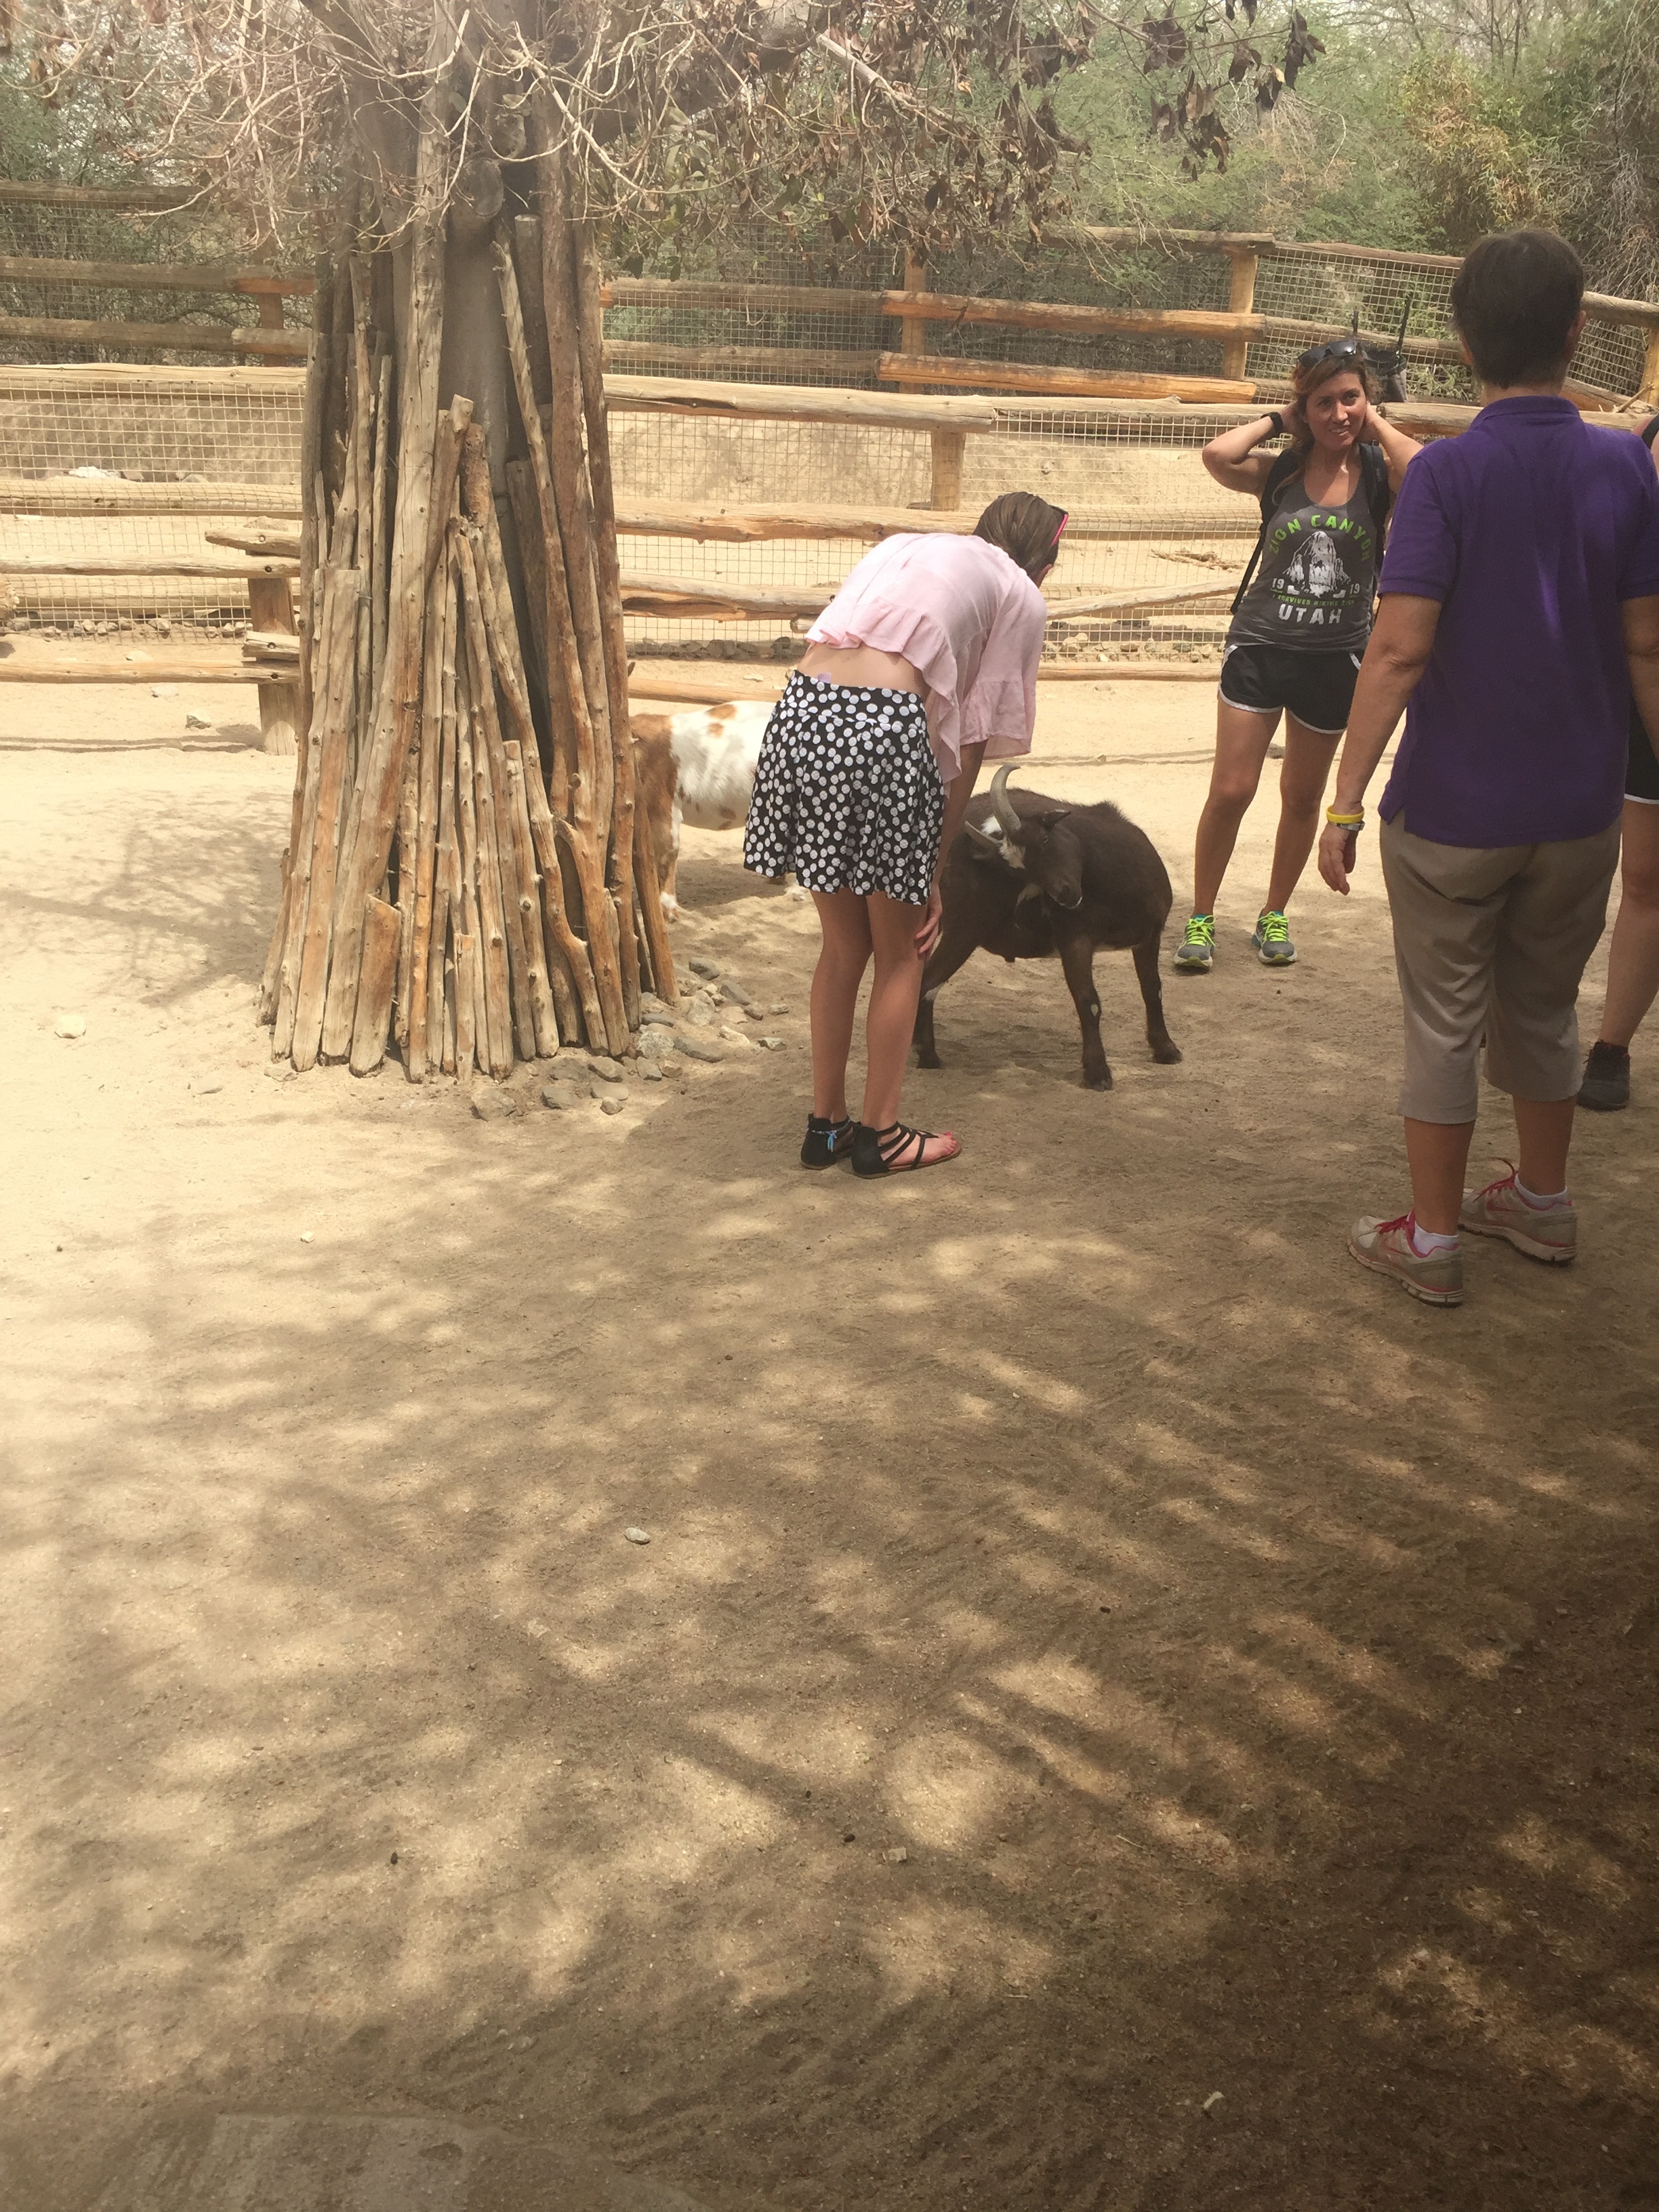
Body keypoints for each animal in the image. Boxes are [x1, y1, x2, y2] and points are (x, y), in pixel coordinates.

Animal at [924, 769, 1185, 1097]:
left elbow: (1153, 989)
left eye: (1045, 838)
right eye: (1019, 869)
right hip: (964, 928)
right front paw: (1098, 1073)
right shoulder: (1075, 938)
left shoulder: (1149, 936)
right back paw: (928, 1056)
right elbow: (1089, 1002)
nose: (1065, 894)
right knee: (928, 982)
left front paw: (1166, 1049)